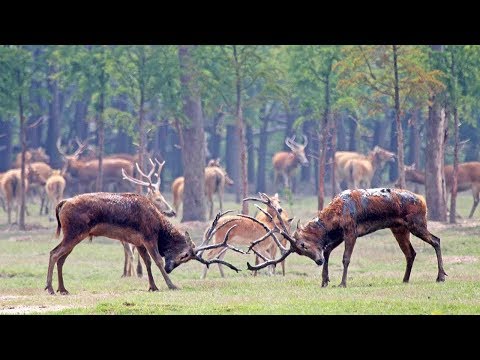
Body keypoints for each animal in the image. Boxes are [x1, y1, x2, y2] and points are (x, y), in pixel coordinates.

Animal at [46, 193, 244, 294]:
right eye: (185, 255)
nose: (170, 268)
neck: (159, 226)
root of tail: (62, 203)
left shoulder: (139, 241)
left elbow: (147, 262)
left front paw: (153, 287)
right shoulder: (148, 237)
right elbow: (157, 260)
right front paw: (172, 285)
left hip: (74, 235)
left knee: (61, 258)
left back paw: (63, 289)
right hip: (74, 232)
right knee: (54, 253)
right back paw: (50, 288)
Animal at [246, 190, 448, 288]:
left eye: (303, 245)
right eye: (300, 253)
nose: (318, 261)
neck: (334, 220)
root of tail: (423, 200)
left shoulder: (351, 230)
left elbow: (346, 258)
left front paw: (342, 283)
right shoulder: (339, 235)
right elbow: (327, 250)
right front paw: (324, 281)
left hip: (417, 223)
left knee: (436, 240)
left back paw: (440, 277)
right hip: (399, 228)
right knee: (411, 253)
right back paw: (405, 280)